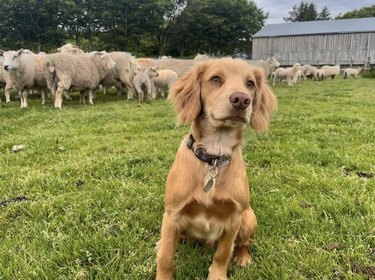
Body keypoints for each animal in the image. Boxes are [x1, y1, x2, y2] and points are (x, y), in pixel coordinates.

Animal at [155, 58, 276, 278]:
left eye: (250, 84)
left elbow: (223, 253)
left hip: (249, 217)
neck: (214, 155)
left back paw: (243, 257)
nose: (241, 100)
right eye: (215, 79)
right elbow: (166, 257)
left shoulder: (234, 218)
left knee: (243, 243)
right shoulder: (172, 214)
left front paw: (217, 275)